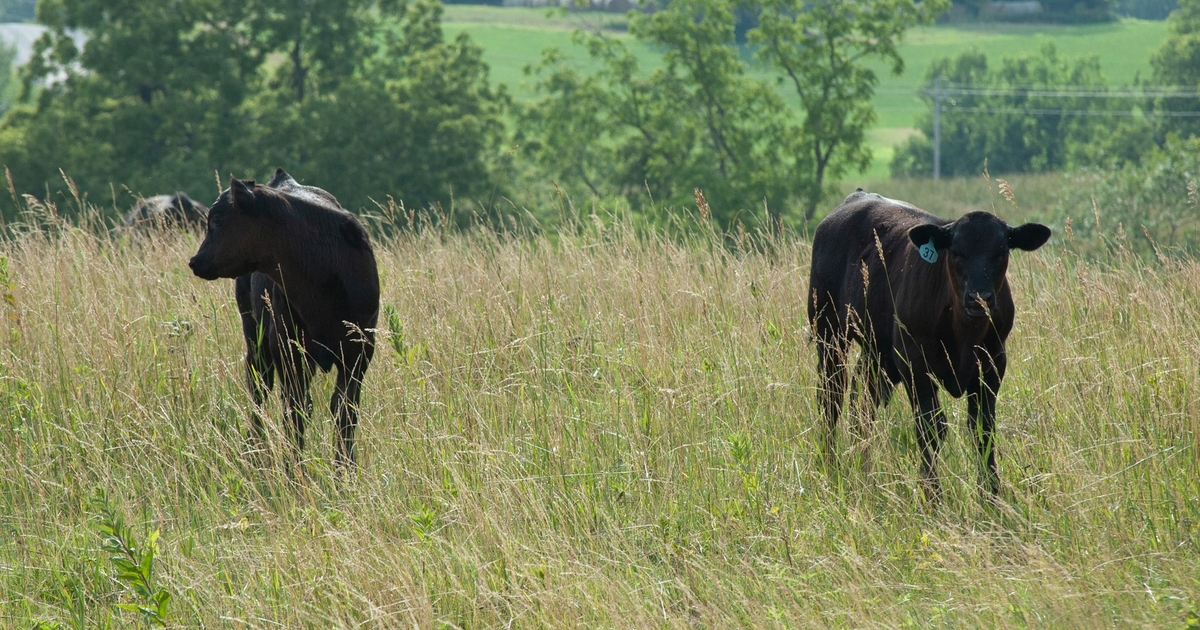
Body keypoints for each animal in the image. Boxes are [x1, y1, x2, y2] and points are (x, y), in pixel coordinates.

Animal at [188, 169, 379, 468]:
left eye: (217, 220)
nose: (196, 260)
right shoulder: (286, 348)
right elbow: (295, 410)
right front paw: (294, 469)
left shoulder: (359, 351)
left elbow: (344, 410)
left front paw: (345, 469)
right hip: (255, 340)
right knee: (259, 390)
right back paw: (255, 450)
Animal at [806, 189, 1051, 499]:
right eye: (956, 252)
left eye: (1001, 252)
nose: (979, 298)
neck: (963, 332)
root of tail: (858, 197)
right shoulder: (915, 363)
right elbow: (931, 428)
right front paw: (932, 496)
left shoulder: (993, 364)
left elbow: (983, 429)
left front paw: (991, 496)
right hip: (828, 332)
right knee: (831, 399)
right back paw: (831, 466)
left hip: (877, 351)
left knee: (863, 402)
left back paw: (865, 469)